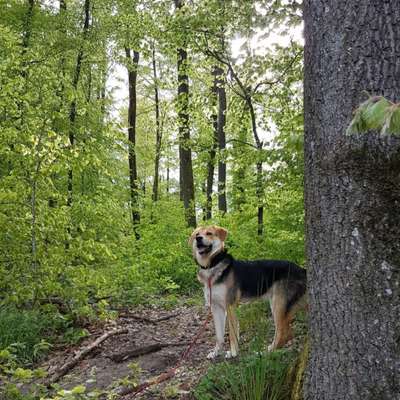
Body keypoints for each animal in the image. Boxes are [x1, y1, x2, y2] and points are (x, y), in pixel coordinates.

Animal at [189, 225, 308, 360]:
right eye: (197, 234)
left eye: (209, 233)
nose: (198, 238)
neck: (213, 265)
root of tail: (302, 270)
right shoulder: (216, 307)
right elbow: (219, 335)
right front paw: (216, 352)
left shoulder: (230, 306)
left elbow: (232, 333)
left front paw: (233, 352)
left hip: (278, 305)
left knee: (283, 334)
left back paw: (266, 353)